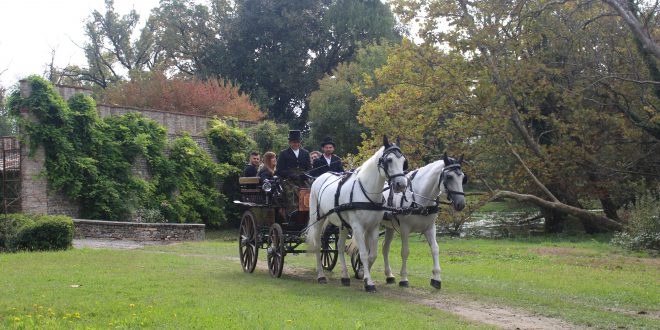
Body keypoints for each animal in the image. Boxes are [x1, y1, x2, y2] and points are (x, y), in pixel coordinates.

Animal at [308, 136, 408, 292]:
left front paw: (364, 277)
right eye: (389, 160)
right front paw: (369, 284)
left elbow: (372, 255)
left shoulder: (373, 227)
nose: (401, 185)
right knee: (318, 245)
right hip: (318, 220)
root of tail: (320, 177)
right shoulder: (358, 228)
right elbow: (363, 254)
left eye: (403, 161)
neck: (367, 192)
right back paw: (321, 276)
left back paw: (345, 277)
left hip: (342, 225)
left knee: (340, 247)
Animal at [378, 153, 466, 288]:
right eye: (449, 176)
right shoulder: (404, 229)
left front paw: (436, 278)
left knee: (385, 248)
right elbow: (405, 251)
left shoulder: (430, 228)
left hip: (389, 227)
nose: (461, 204)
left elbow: (435, 249)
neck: (419, 199)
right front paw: (404, 278)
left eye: (463, 177)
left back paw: (389, 275)